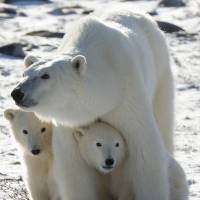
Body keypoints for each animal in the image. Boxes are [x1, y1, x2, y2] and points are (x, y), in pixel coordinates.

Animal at [10, 10, 188, 200]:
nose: (17, 93)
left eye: (45, 75)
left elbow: (145, 149)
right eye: (24, 74)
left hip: (160, 70)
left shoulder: (127, 97)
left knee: (163, 120)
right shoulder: (70, 123)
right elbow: (73, 167)